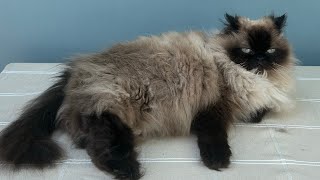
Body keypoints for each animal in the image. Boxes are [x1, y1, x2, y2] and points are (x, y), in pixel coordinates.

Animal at [0, 13, 296, 179]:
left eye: (270, 51)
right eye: (246, 51)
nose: (260, 59)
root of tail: (74, 70)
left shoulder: (250, 104)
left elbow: (258, 113)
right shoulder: (212, 110)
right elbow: (214, 137)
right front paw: (217, 162)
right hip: (118, 101)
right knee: (97, 140)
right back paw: (127, 170)